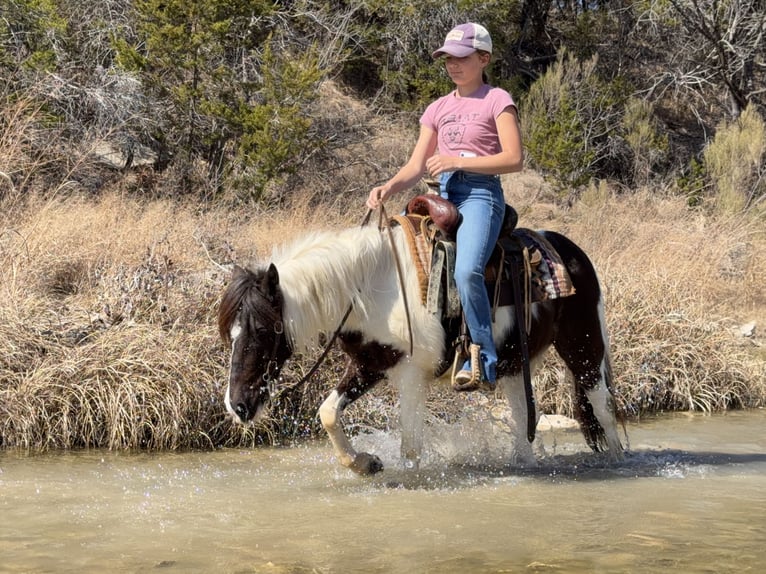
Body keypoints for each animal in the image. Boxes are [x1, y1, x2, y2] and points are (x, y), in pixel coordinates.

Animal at [218, 218, 624, 475]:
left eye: (263, 330)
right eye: (231, 334)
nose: (238, 406)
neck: (373, 289)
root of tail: (572, 252)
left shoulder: (411, 375)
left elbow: (410, 445)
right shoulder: (369, 364)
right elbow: (328, 412)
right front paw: (366, 465)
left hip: (584, 350)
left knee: (603, 410)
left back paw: (617, 462)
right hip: (513, 370)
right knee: (526, 418)